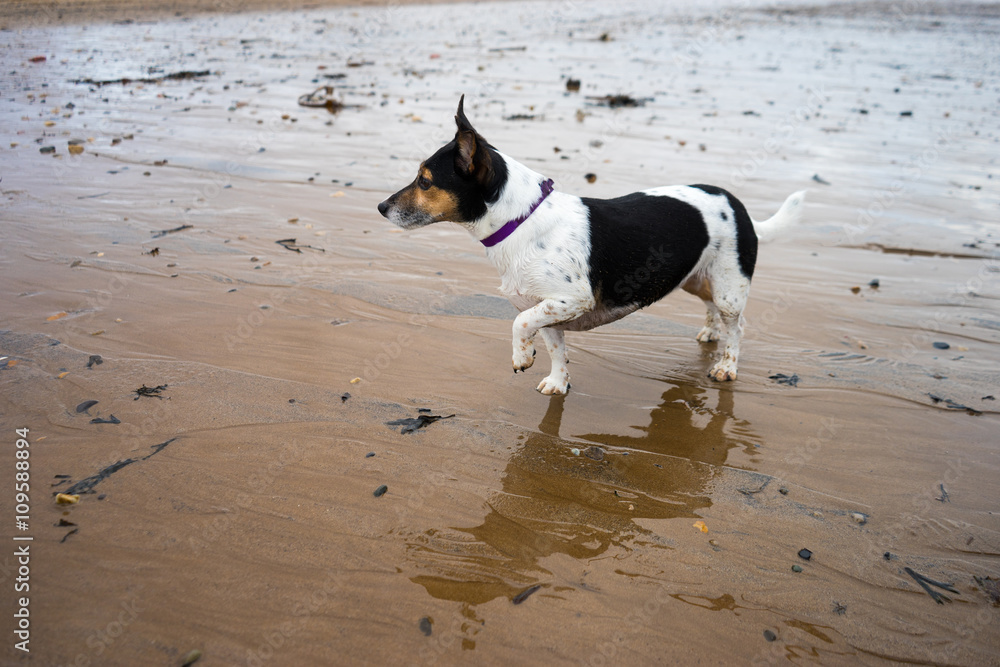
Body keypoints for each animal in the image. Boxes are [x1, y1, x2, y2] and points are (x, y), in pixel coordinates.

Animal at [376, 96, 804, 394]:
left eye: (425, 181)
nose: (381, 207)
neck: (521, 220)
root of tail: (737, 205)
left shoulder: (569, 299)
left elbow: (519, 323)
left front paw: (521, 356)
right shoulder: (547, 309)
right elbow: (556, 348)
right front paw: (557, 383)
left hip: (730, 285)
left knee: (737, 325)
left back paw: (726, 365)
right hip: (696, 278)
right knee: (712, 308)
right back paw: (711, 333)